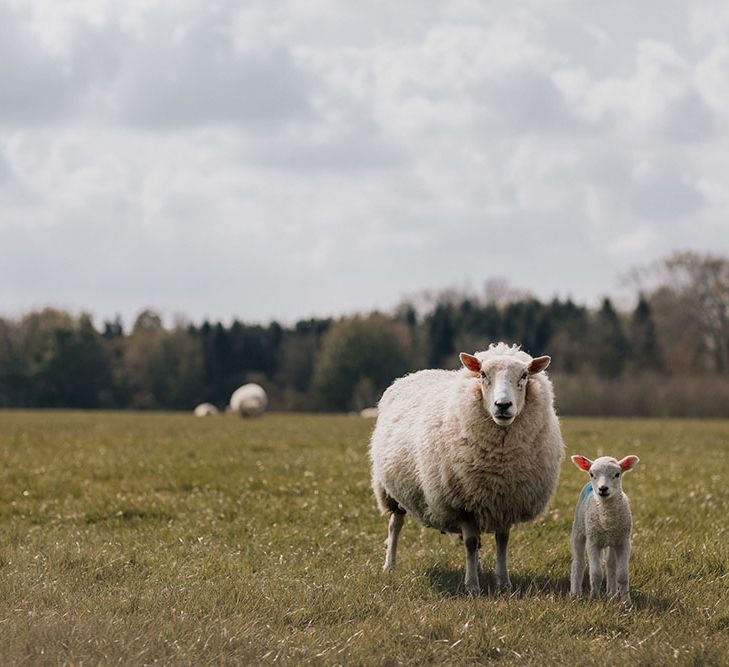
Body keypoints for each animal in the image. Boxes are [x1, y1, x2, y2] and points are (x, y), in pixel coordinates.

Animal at [370, 344, 564, 596]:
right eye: (482, 375)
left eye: (524, 376)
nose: (503, 405)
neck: (500, 463)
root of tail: (412, 374)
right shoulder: (462, 504)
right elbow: (470, 543)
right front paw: (472, 586)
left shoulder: (506, 502)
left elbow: (502, 541)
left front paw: (504, 583)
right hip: (389, 491)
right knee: (395, 526)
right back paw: (389, 565)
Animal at [568, 454, 636, 604]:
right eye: (591, 474)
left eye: (617, 474)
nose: (603, 489)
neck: (607, 521)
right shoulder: (593, 542)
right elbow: (596, 574)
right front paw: (593, 598)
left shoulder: (623, 541)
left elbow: (622, 575)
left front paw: (626, 602)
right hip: (579, 531)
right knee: (578, 562)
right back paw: (575, 593)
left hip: (612, 541)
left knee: (611, 565)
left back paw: (611, 594)